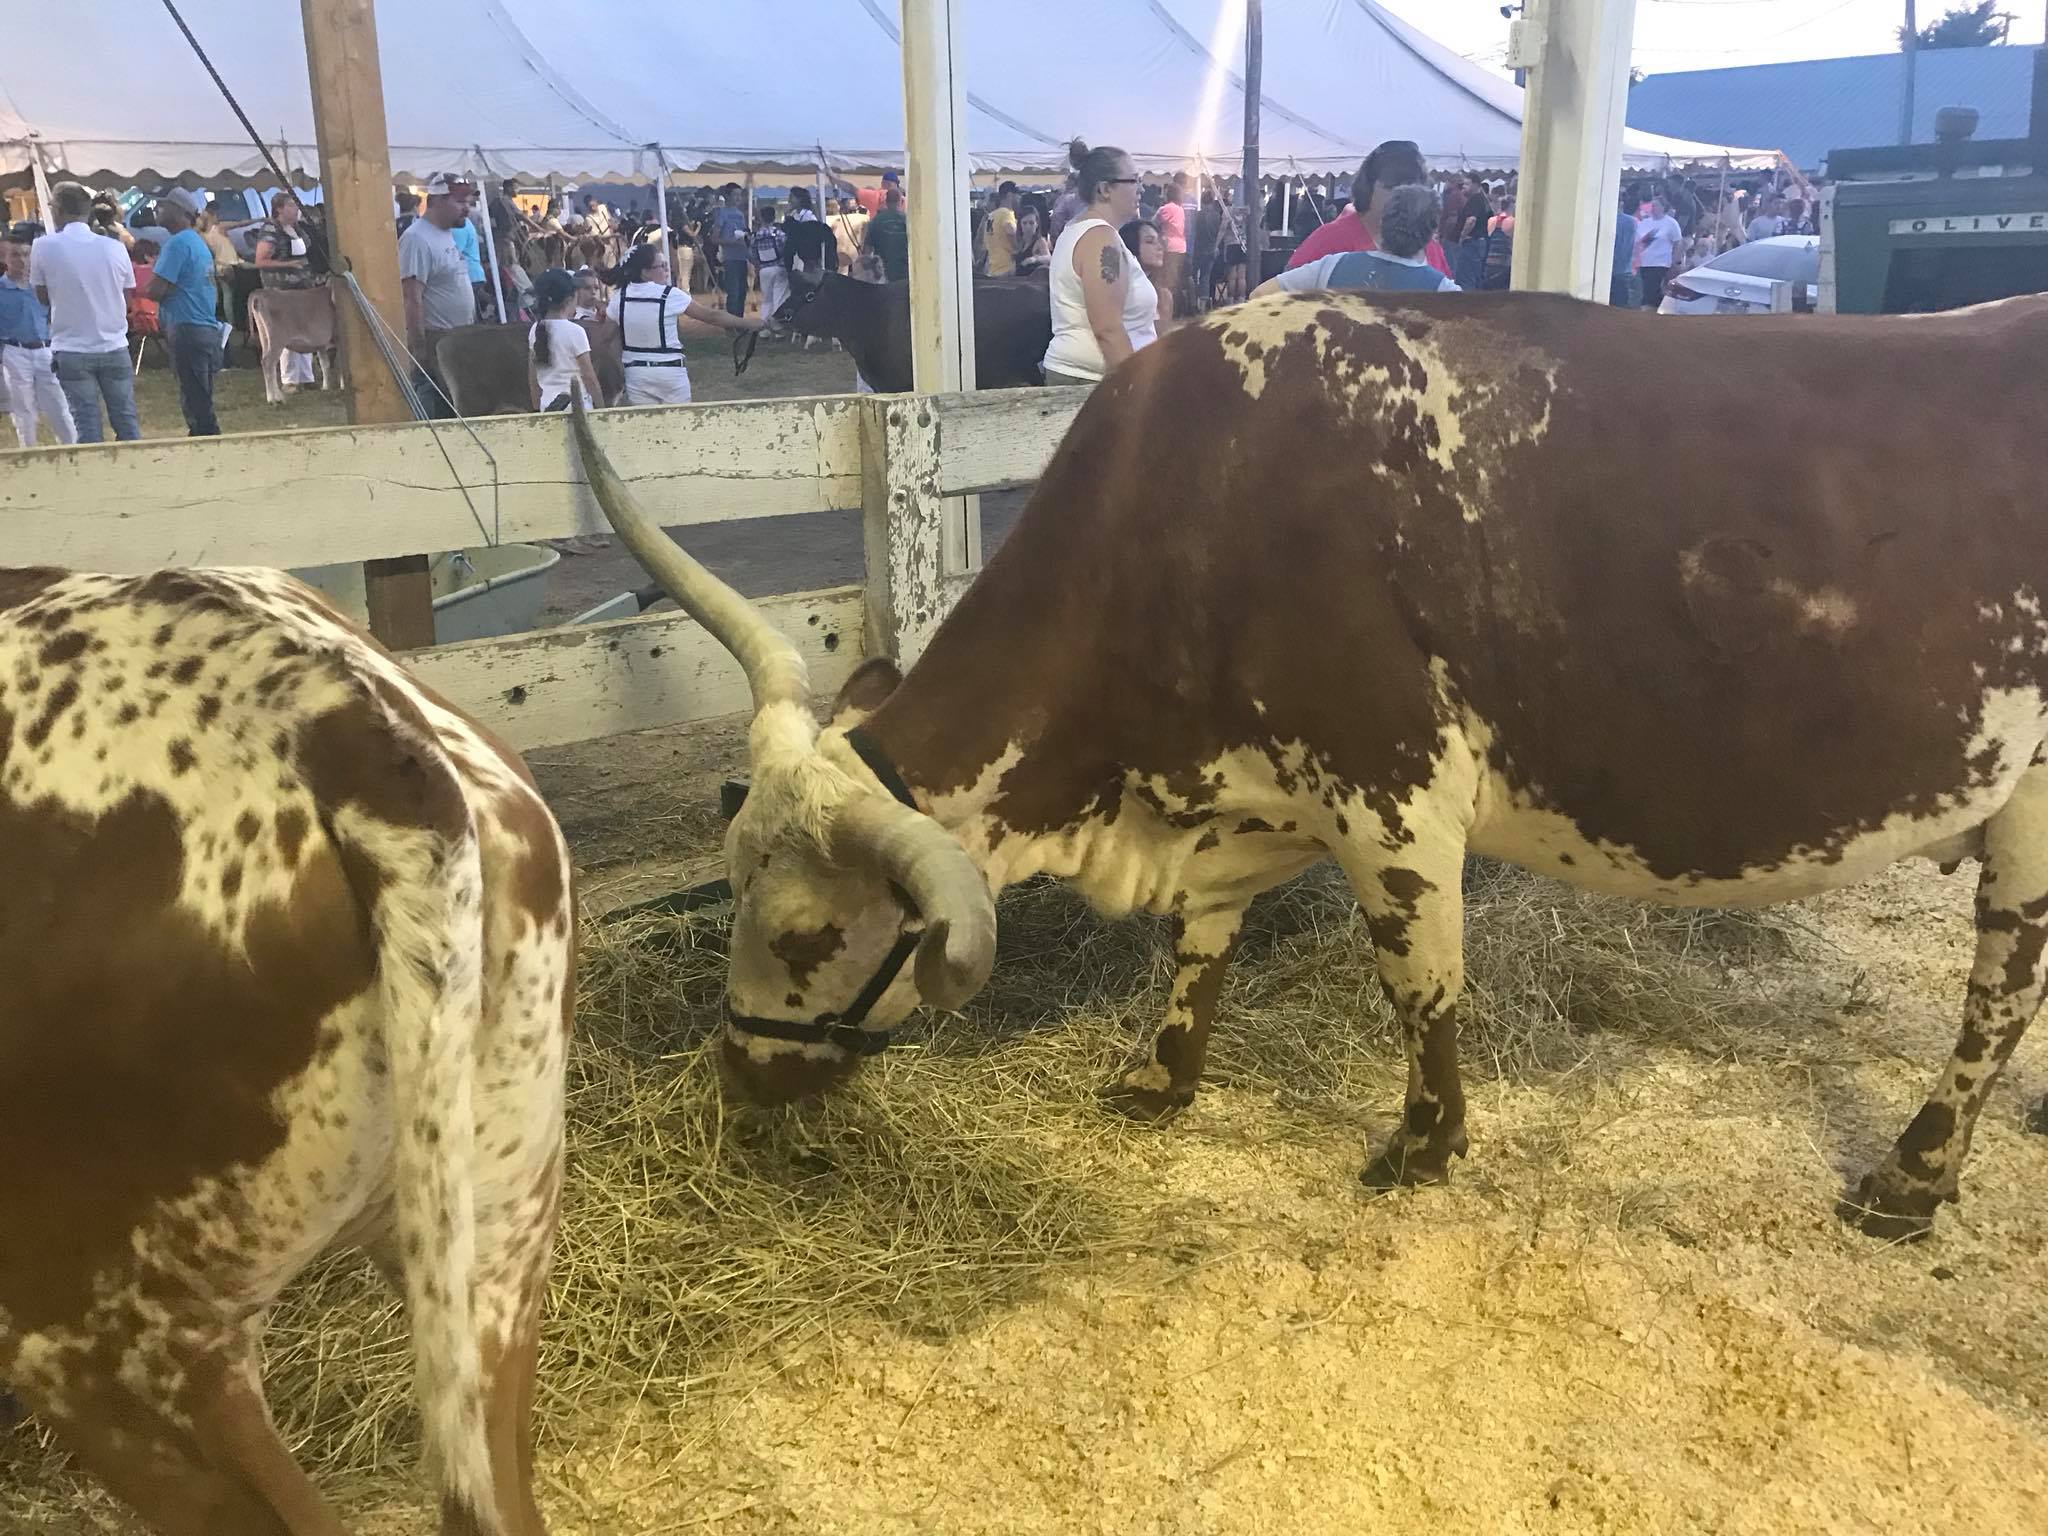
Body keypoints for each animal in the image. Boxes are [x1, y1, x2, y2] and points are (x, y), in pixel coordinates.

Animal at [573, 290, 2048, 1253]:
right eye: (727, 886)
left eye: (807, 932)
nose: (739, 1076)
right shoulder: (1236, 805)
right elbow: (1202, 939)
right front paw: (1159, 1080)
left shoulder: (1395, 796)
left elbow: (1418, 978)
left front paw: (1423, 1144)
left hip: (2029, 804)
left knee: (2004, 983)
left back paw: (1913, 1180)